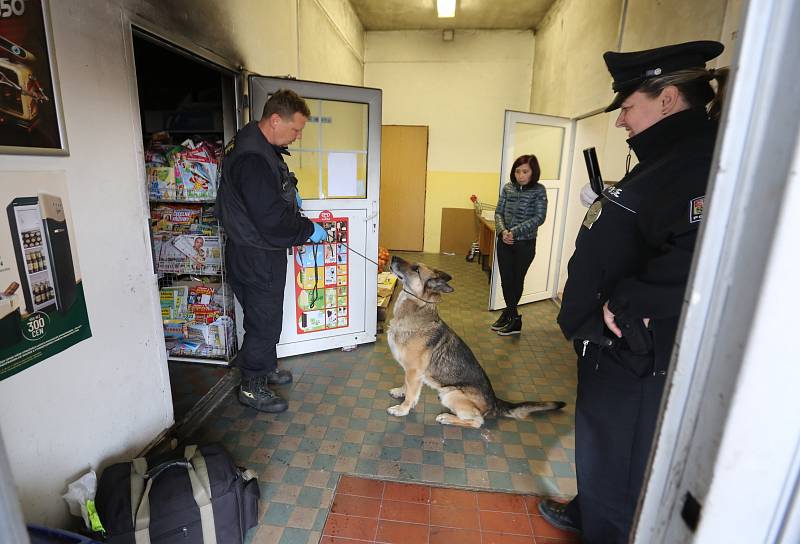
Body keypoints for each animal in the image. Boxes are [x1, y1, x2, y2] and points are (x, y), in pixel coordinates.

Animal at [386, 258, 564, 428]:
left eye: (416, 269)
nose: (393, 257)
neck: (418, 309)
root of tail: (495, 402)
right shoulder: (410, 372)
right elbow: (406, 385)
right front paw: (400, 391)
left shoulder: (414, 372)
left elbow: (411, 395)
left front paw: (402, 409)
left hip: (450, 394)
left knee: (477, 422)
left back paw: (447, 418)